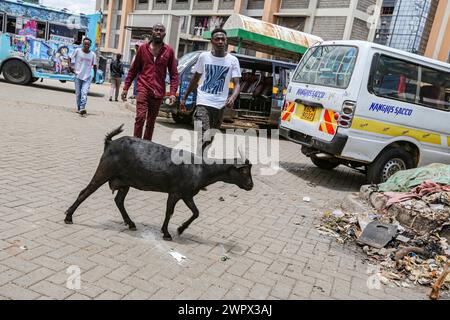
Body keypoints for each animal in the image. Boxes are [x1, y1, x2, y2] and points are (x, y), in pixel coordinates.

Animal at [64, 125, 253, 240]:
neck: (201, 168)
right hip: (104, 171)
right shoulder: (175, 192)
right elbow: (170, 212)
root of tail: (109, 143)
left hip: (125, 181)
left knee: (118, 200)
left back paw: (131, 223)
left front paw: (180, 229)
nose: (251, 186)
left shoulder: (186, 195)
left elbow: (196, 212)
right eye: (244, 170)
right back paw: (68, 217)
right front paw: (167, 233)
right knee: (85, 192)